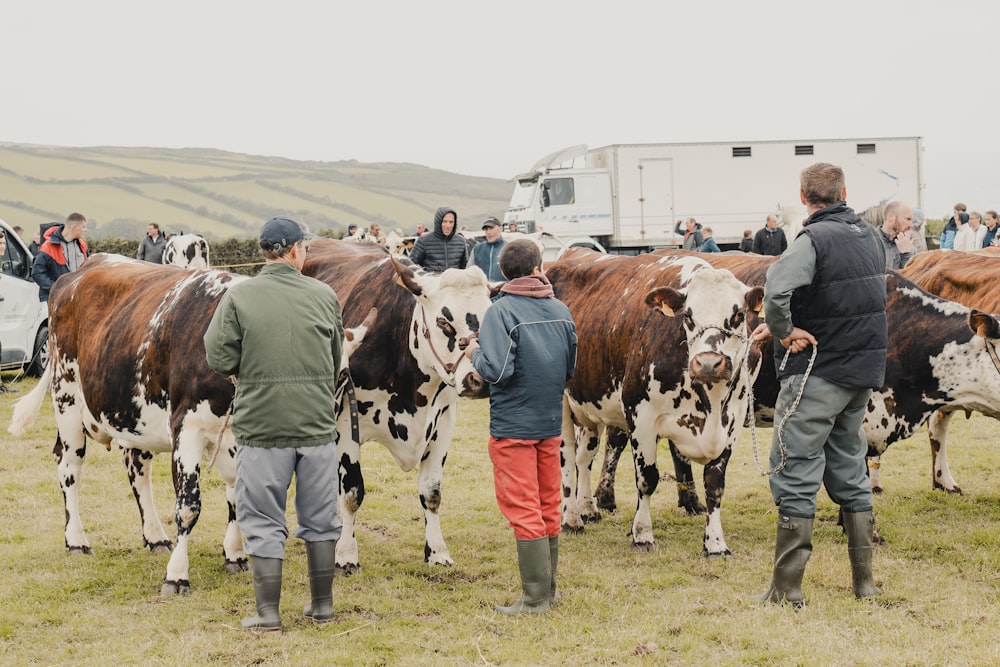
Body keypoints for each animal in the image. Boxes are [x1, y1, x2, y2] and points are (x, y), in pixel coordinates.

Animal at [6, 254, 376, 596]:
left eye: (342, 375)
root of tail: (83, 268)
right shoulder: (186, 427)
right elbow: (188, 506)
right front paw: (177, 575)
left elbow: (238, 496)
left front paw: (235, 555)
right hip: (66, 398)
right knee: (69, 469)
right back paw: (77, 540)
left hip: (135, 417)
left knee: (136, 469)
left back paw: (155, 537)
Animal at [302, 239, 494, 576]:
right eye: (443, 322)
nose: (479, 380)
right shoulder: (345, 422)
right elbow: (351, 492)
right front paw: (346, 554)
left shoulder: (444, 420)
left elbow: (432, 492)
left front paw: (437, 551)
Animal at [544, 248, 760, 556]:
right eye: (688, 316)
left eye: (738, 315)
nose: (708, 363)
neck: (711, 401)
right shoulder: (641, 415)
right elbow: (648, 479)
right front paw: (642, 535)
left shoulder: (732, 422)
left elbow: (714, 485)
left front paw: (716, 543)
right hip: (561, 405)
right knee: (567, 458)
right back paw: (571, 518)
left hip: (591, 407)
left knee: (584, 458)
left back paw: (588, 509)